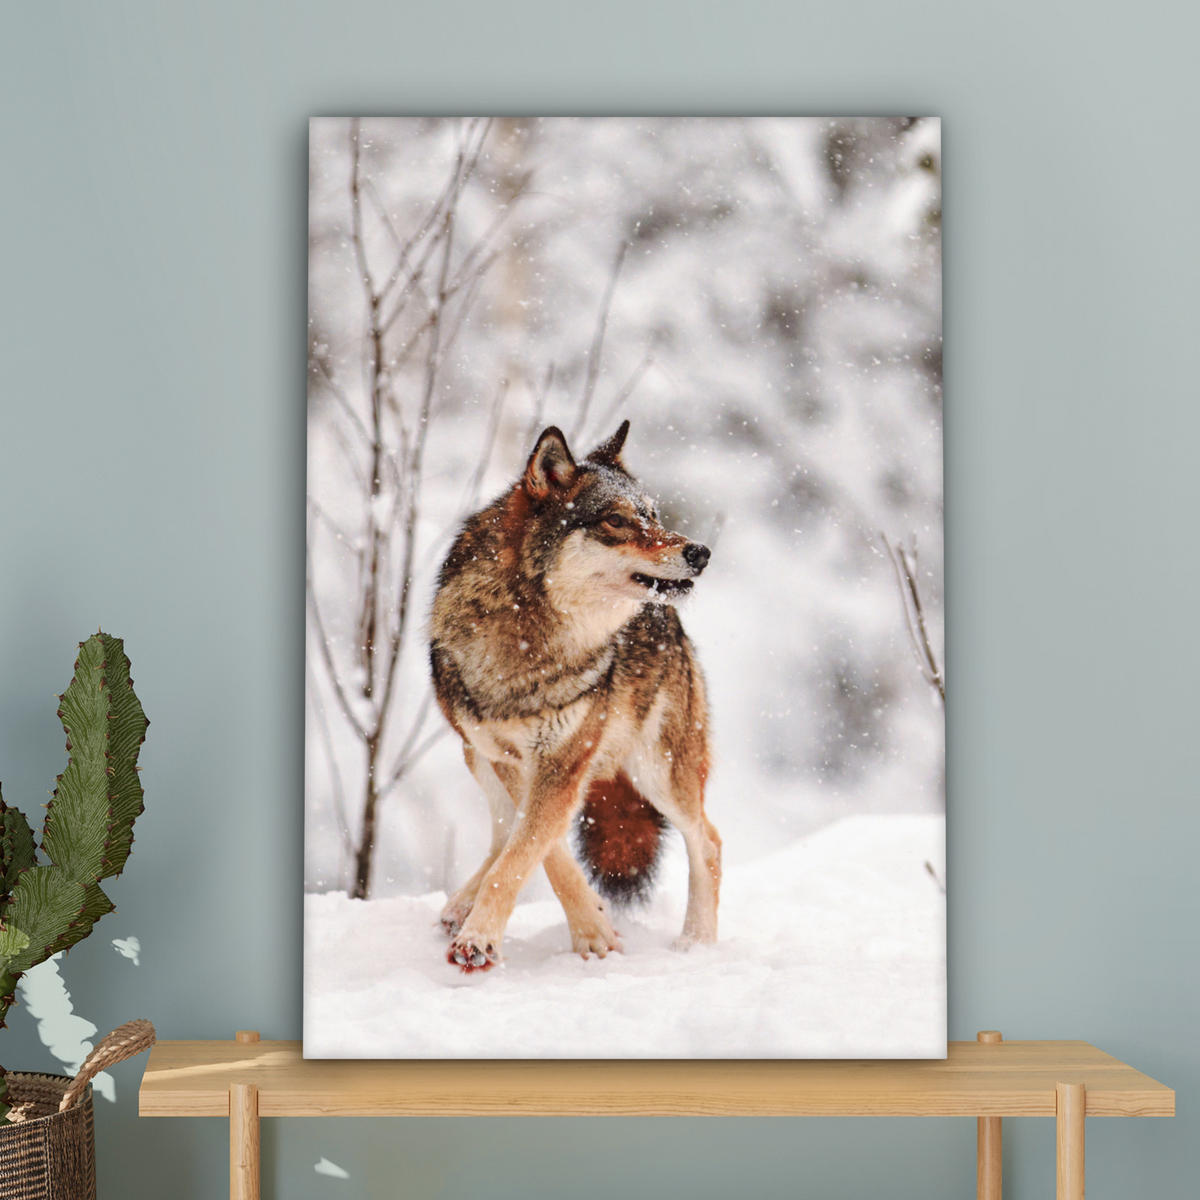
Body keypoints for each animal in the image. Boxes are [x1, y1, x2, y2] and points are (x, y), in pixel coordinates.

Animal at [429, 420, 721, 972]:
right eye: (616, 521)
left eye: (653, 515)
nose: (700, 552)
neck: (530, 639)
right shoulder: (510, 757)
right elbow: (537, 850)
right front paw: (593, 927)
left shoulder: (562, 760)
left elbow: (526, 852)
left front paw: (482, 939)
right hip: (474, 755)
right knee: (502, 831)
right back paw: (458, 907)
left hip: (658, 772)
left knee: (709, 842)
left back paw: (697, 944)